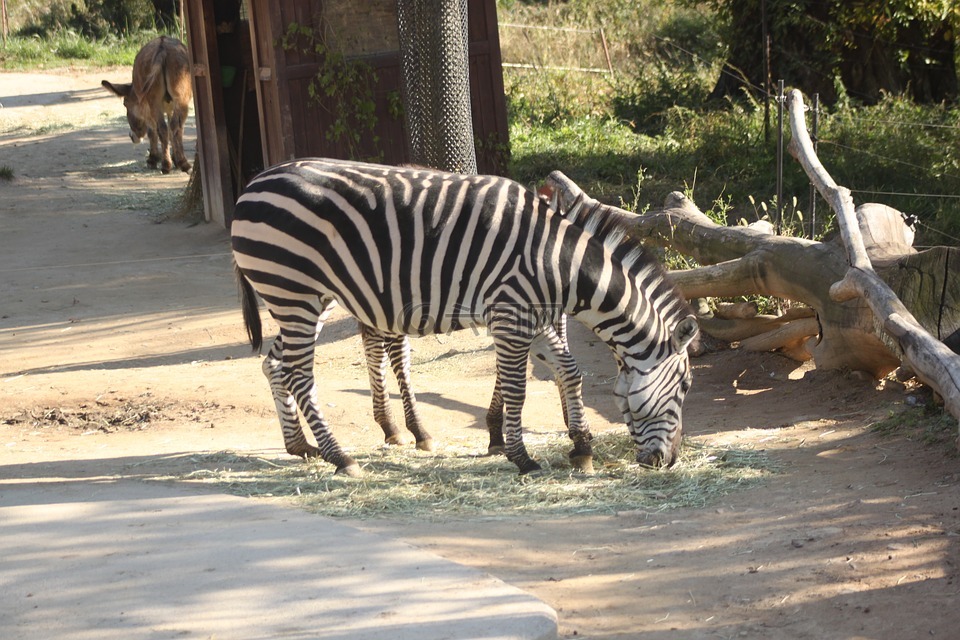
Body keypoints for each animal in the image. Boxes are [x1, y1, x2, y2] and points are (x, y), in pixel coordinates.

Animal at [232, 158, 696, 478]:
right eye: (686, 386)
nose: (668, 462)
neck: (557, 262)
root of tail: (251, 184)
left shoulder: (533, 315)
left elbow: (569, 371)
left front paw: (581, 448)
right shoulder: (512, 312)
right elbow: (517, 387)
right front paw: (522, 457)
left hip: (307, 298)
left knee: (274, 363)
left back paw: (300, 446)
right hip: (294, 291)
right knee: (299, 374)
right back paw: (340, 457)